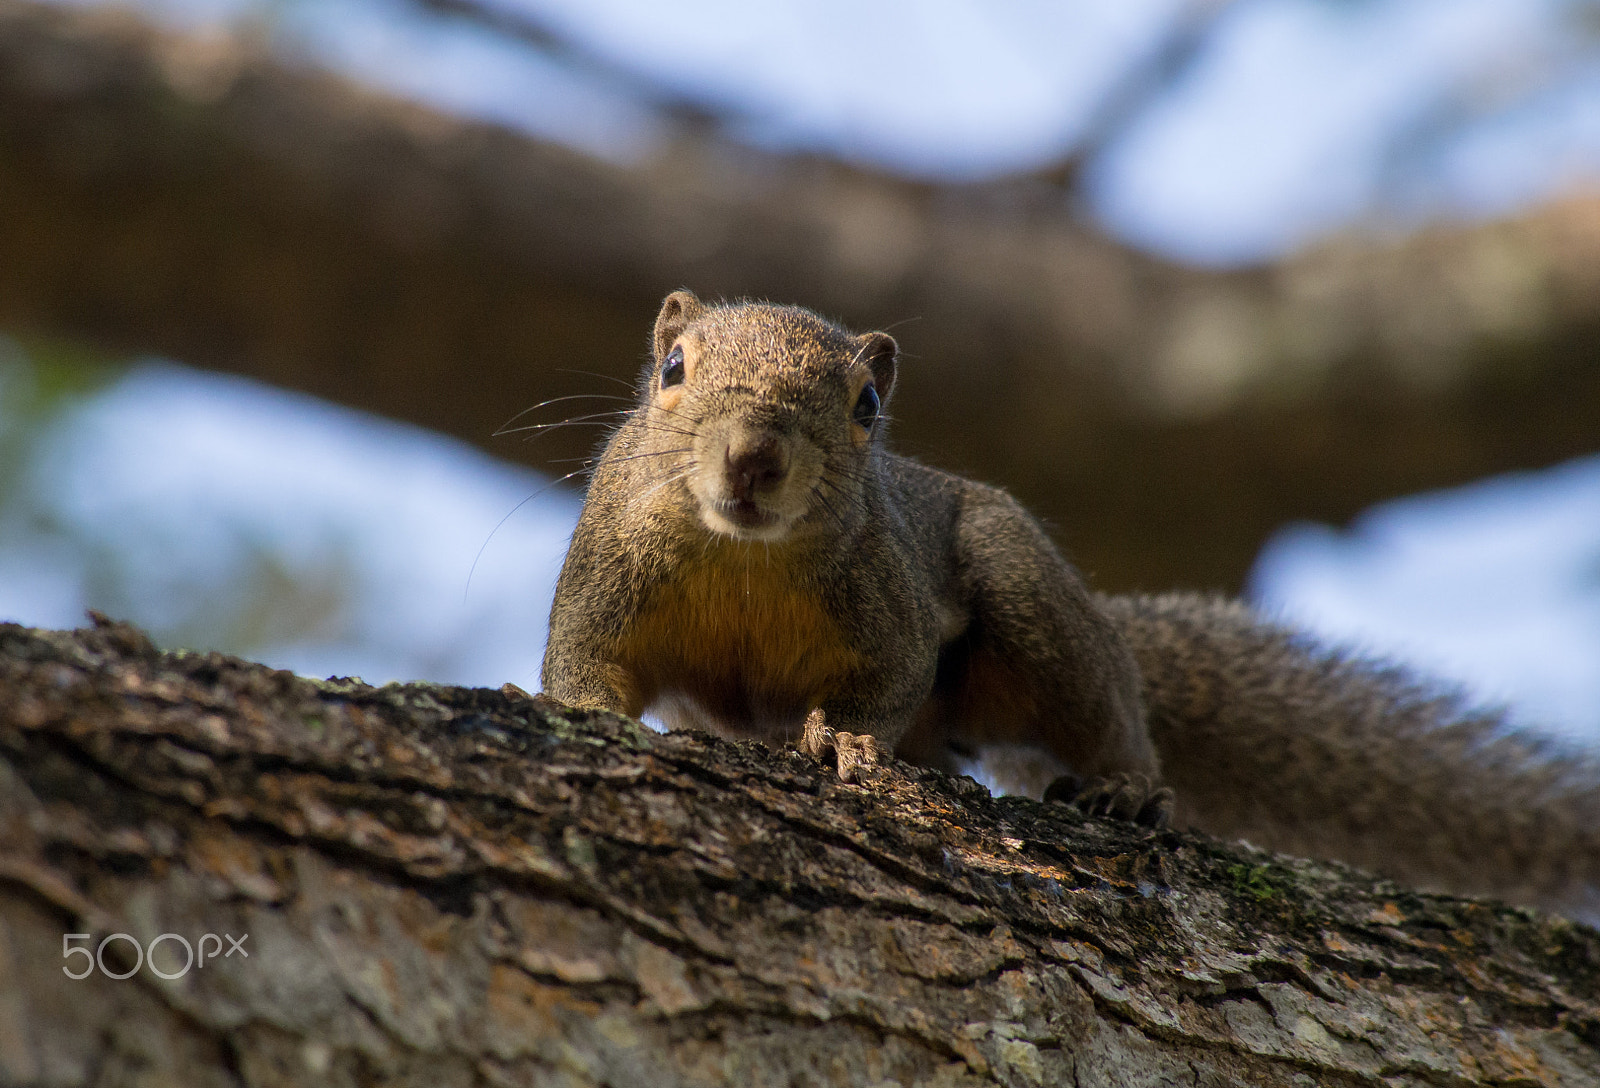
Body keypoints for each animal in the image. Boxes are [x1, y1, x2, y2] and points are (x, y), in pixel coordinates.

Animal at [542, 290, 1600, 917]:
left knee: (1108, 714)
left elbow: (886, 685)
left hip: (1035, 611)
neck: (745, 561)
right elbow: (579, 666)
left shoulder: (891, 612)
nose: (754, 459)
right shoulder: (604, 577)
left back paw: (1125, 785)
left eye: (865, 408)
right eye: (672, 368)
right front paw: (586, 713)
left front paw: (841, 741)